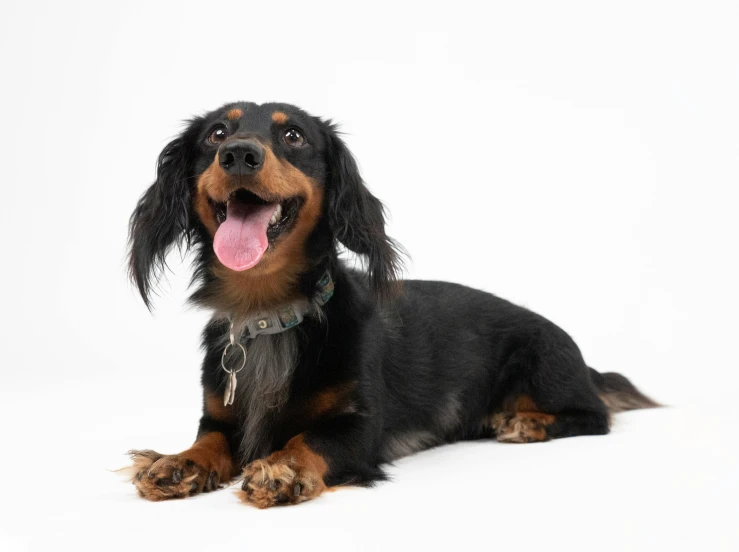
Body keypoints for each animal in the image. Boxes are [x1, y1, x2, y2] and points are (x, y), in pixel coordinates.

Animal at [124, 100, 656, 508]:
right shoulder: (217, 416)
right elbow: (208, 440)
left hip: (543, 366)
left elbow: (305, 440)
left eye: (293, 135)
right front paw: (176, 464)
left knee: (595, 417)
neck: (269, 313)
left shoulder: (358, 429)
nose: (238, 154)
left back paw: (523, 423)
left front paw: (280, 471)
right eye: (217, 133)